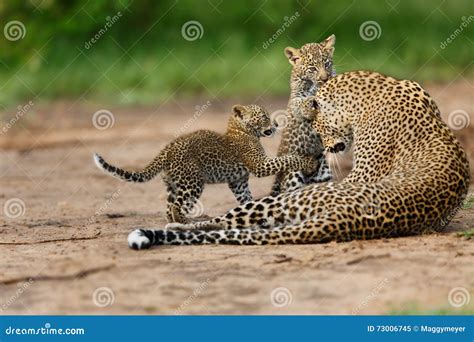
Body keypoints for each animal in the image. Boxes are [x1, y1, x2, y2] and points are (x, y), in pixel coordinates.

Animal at [127, 71, 470, 248]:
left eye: (319, 124)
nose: (325, 145)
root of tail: (345, 219)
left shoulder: (362, 172)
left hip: (284, 202)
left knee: (220, 220)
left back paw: (171, 225)